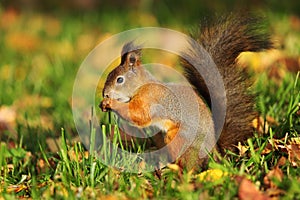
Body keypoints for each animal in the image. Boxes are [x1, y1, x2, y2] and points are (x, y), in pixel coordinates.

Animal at [99, 14, 274, 170]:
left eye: (119, 80)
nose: (105, 94)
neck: (142, 85)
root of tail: (216, 154)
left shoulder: (151, 99)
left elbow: (138, 115)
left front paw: (111, 103)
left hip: (179, 139)